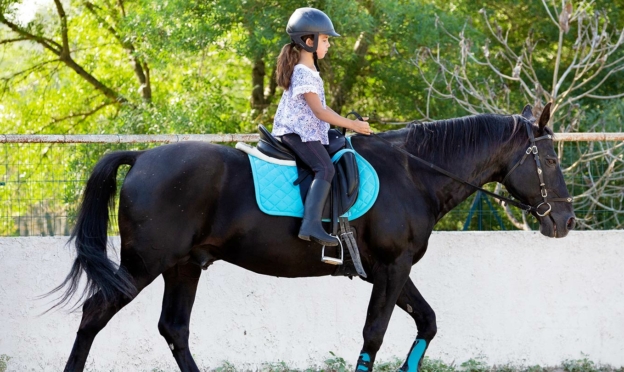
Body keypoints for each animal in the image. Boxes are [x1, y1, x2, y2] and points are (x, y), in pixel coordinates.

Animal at [58, 102, 576, 372]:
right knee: (94, 315)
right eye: (550, 160)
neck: (413, 174)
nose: (566, 221)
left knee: (174, 329)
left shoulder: (391, 269)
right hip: (144, 265)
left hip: (184, 267)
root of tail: (142, 157)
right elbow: (374, 333)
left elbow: (426, 322)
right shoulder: (391, 269)